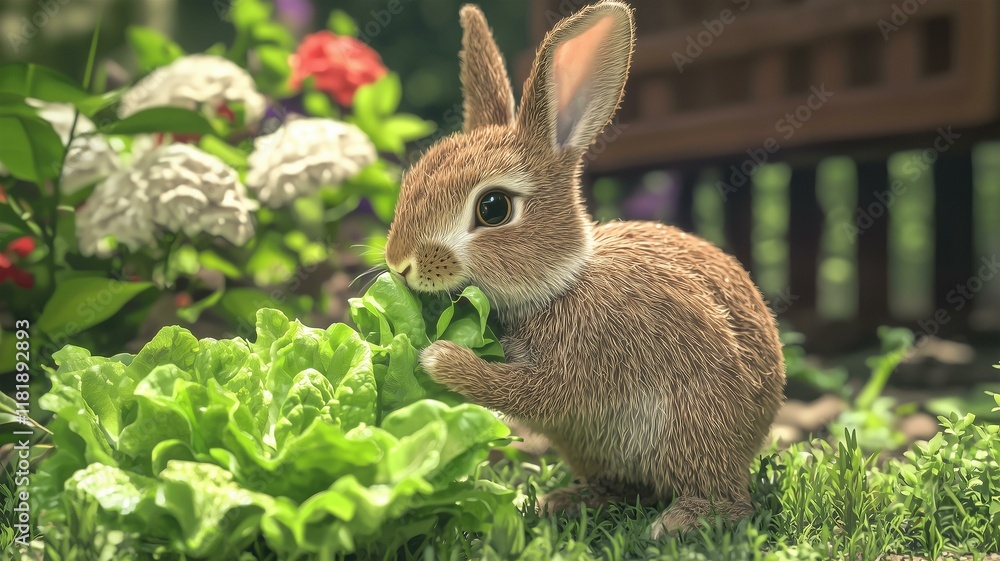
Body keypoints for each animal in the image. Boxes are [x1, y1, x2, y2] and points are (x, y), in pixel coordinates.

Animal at [383, 1, 785, 538]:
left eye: (493, 208)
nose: (399, 263)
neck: (562, 284)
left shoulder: (586, 362)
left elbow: (528, 392)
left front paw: (440, 359)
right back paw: (568, 501)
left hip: (692, 425)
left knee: (730, 499)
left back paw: (681, 520)